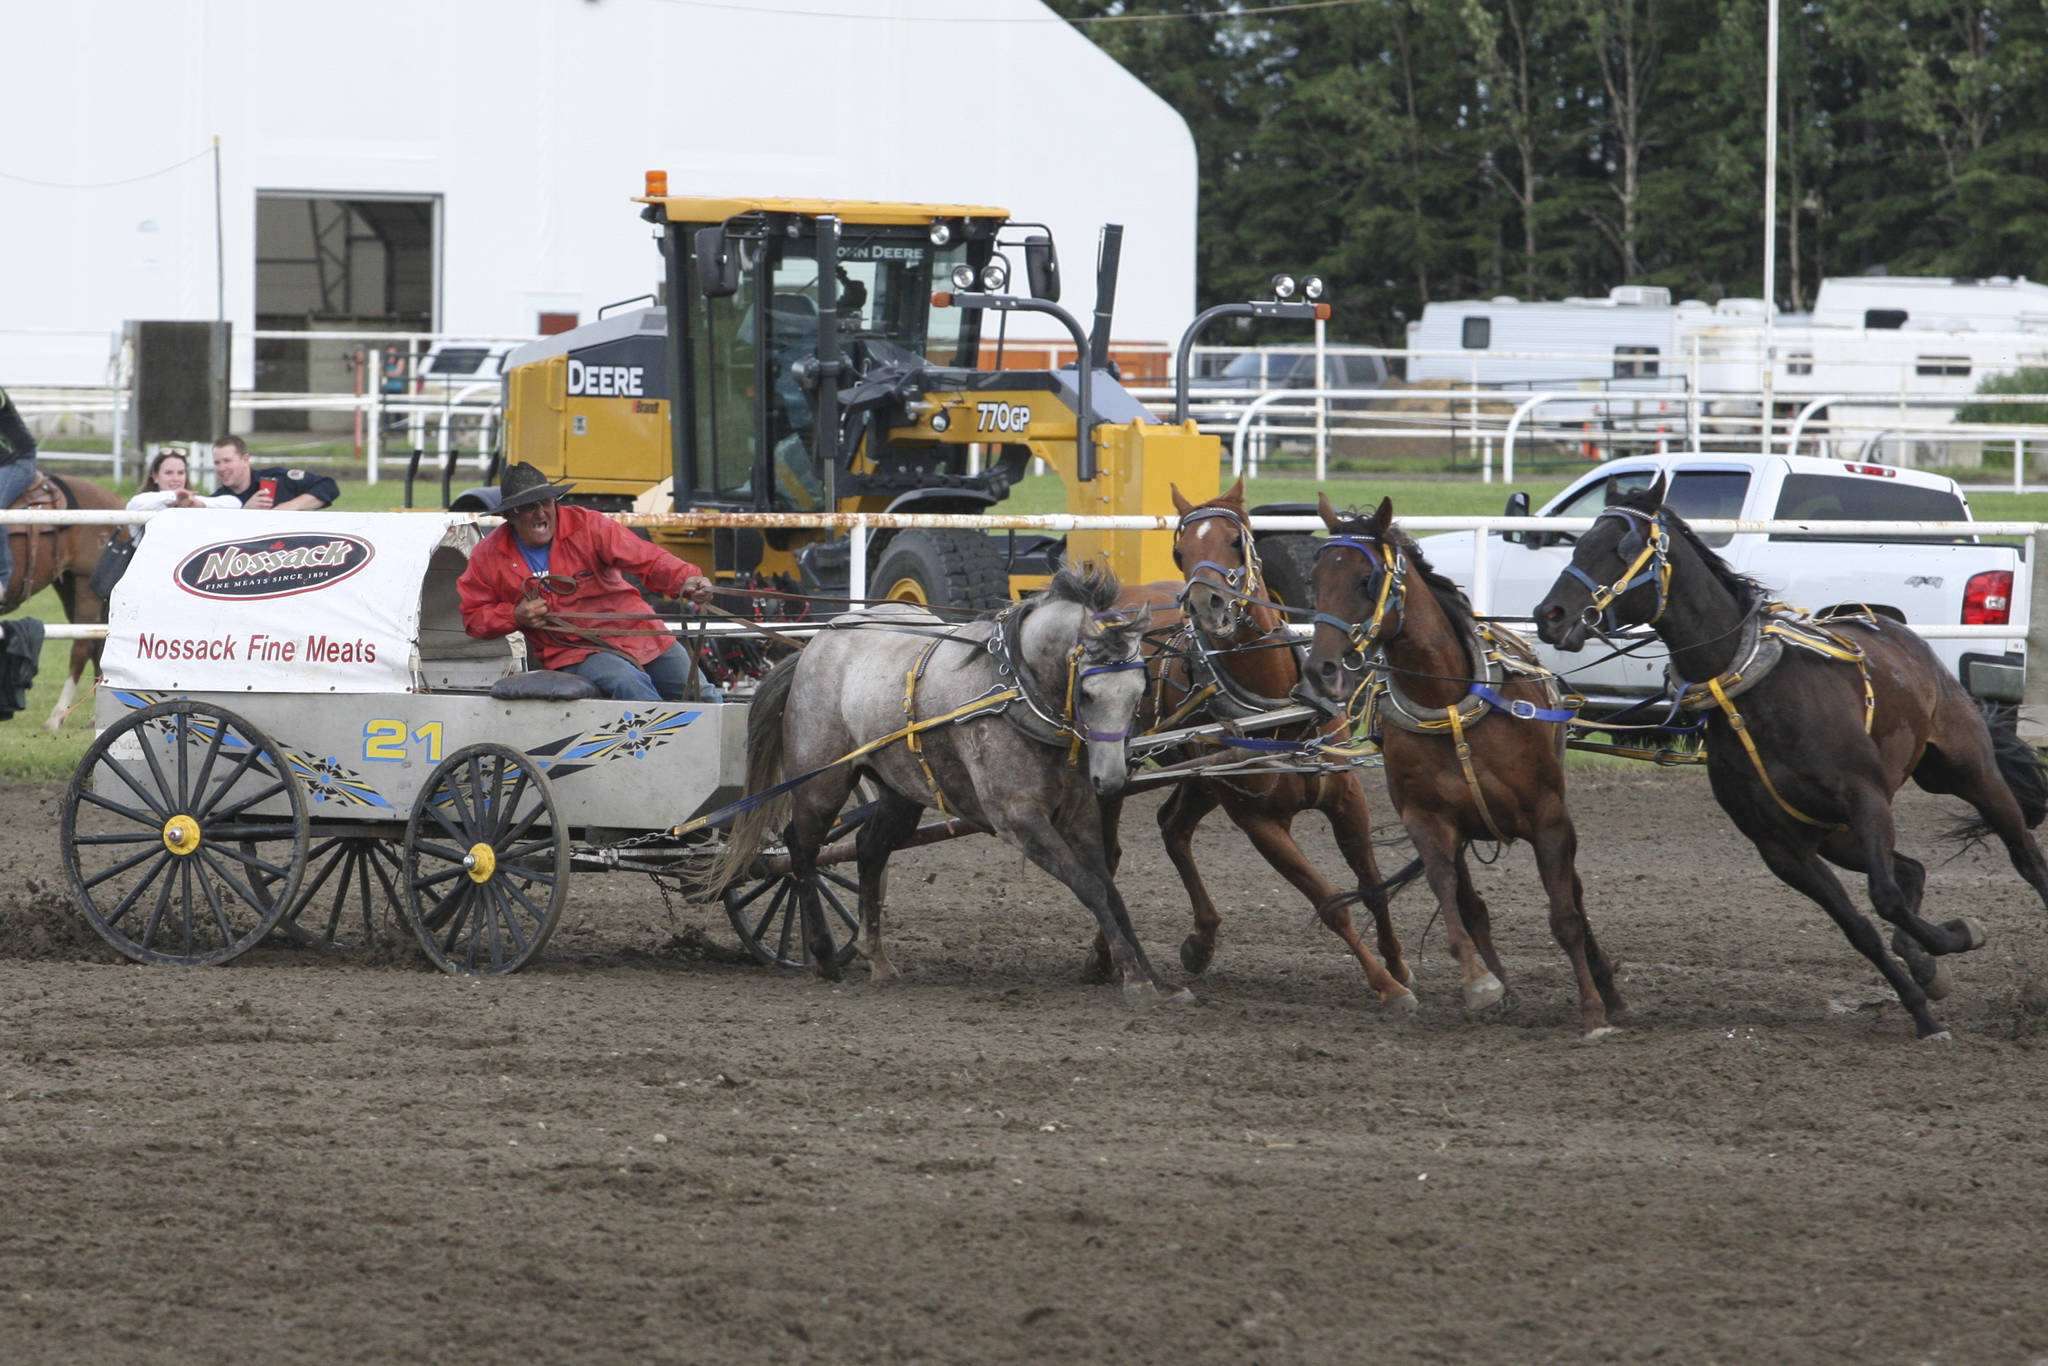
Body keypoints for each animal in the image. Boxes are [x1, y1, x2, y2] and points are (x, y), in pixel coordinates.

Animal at [1097, 481, 1417, 1003]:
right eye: (1180, 551)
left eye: (1235, 540)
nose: (1206, 604)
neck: (1274, 700)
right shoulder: (1258, 821)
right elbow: (1330, 901)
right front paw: (1385, 984)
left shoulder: (1346, 798)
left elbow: (1371, 883)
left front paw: (1398, 963)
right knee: (1106, 856)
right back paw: (1107, 957)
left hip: (1204, 776)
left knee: (1173, 827)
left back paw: (1201, 939)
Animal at [1302, 491, 1622, 1036]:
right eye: (1314, 579)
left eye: (1365, 580)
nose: (1320, 668)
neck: (1451, 704)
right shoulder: (1427, 819)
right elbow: (1450, 895)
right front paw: (1481, 983)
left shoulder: (1548, 817)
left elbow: (1565, 915)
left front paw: (1594, 1011)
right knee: (1473, 904)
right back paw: (1505, 989)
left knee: (1573, 899)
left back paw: (1605, 989)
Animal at [1540, 475, 2048, 1040]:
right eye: (1578, 542)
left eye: (1622, 548)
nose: (1549, 615)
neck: (1756, 692)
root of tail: (1901, 635)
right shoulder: (1782, 846)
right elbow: (1861, 928)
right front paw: (1922, 1005)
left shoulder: (1866, 799)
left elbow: (1884, 898)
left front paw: (1958, 936)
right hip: (1834, 835)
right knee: (1912, 870)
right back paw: (1922, 963)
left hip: (1966, 771)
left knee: (2025, 857)